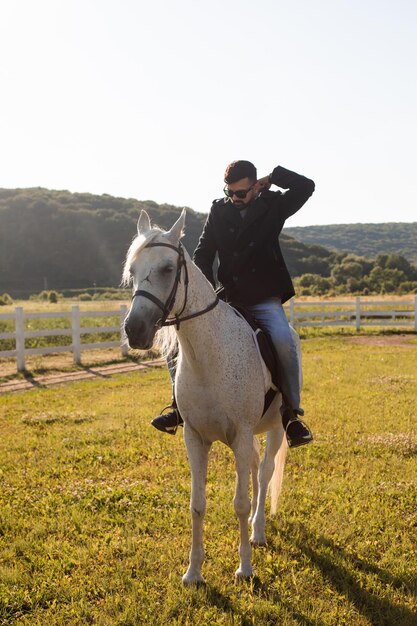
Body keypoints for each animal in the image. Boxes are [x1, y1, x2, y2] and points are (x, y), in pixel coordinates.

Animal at [120, 211, 300, 584]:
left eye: (168, 268)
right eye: (133, 270)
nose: (134, 330)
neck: (209, 356)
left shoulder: (241, 435)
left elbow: (240, 503)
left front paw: (245, 569)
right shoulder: (195, 438)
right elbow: (197, 504)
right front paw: (193, 573)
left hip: (276, 428)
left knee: (264, 473)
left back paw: (258, 532)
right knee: (256, 470)